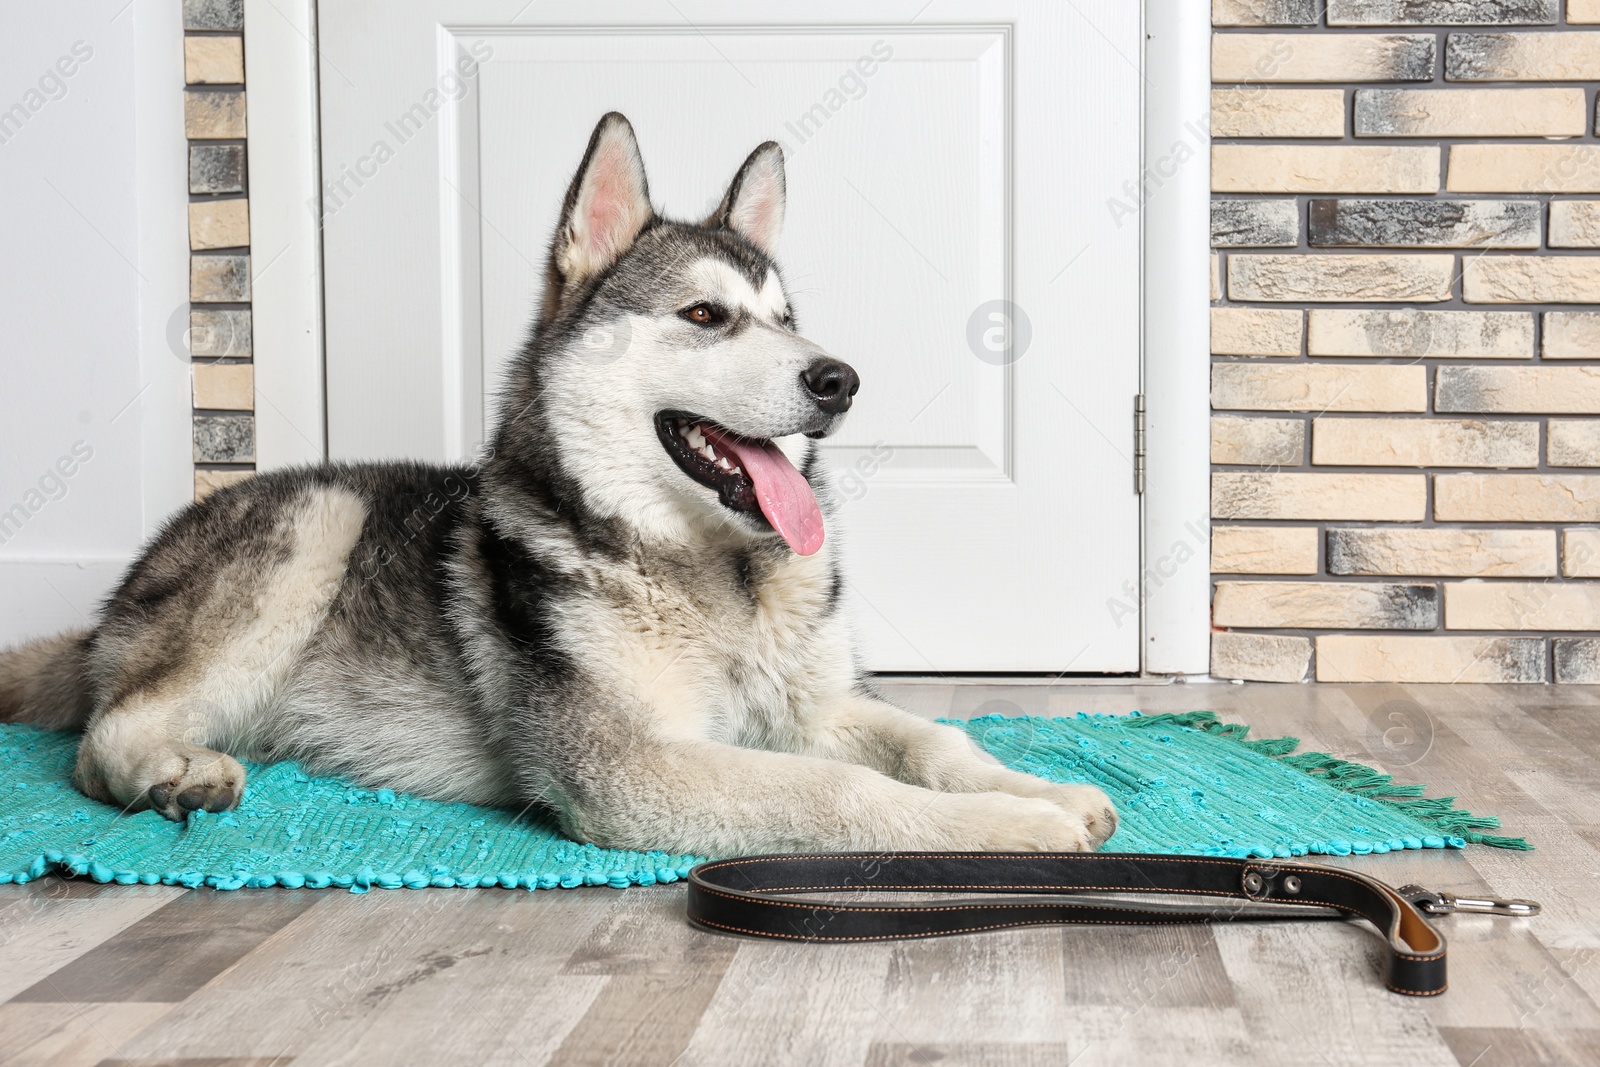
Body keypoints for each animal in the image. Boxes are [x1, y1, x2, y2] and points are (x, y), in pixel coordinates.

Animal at [0, 112, 1120, 857]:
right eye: (706, 316)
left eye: (787, 317)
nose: (838, 378)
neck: (715, 576)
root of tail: (115, 602)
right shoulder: (636, 766)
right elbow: (843, 792)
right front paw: (1007, 823)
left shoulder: (813, 705)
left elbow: (930, 734)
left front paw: (1037, 785)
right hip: (318, 518)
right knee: (104, 733)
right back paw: (168, 771)